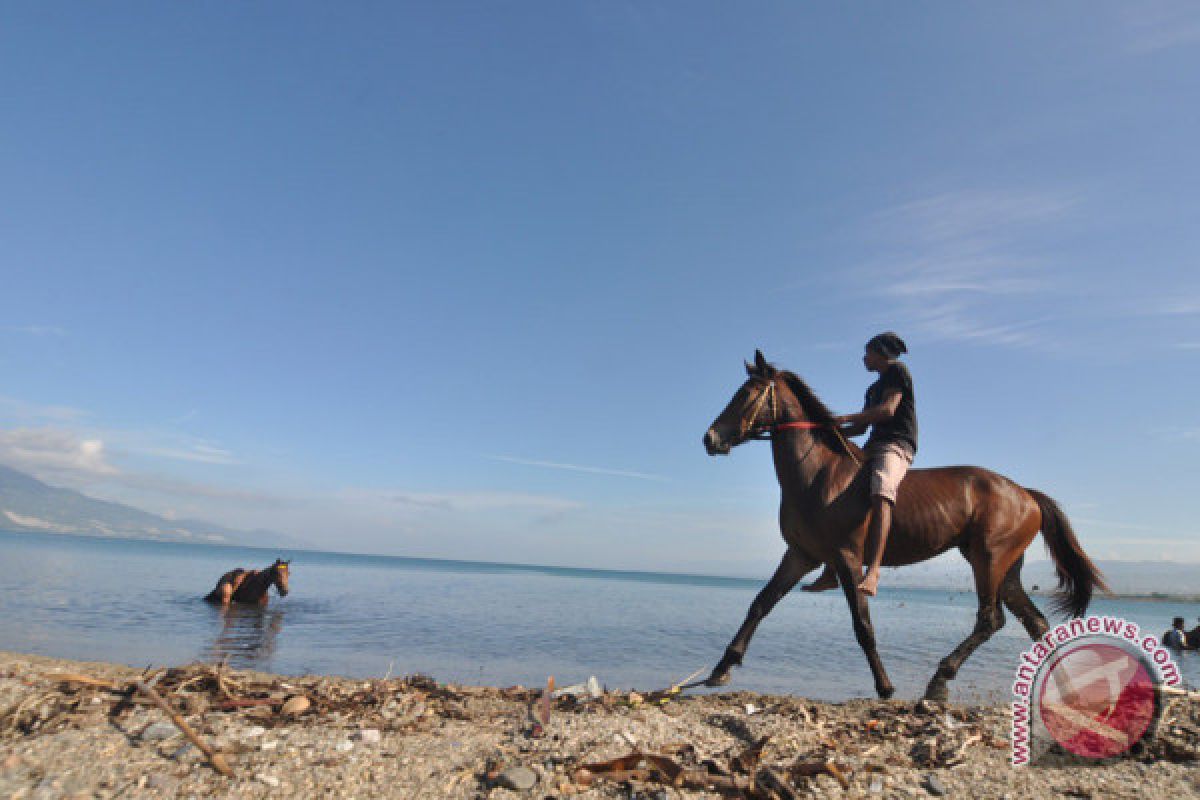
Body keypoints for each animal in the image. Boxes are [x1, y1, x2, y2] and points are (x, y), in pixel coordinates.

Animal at [700, 350, 1108, 700]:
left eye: (747, 394)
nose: (710, 438)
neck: (817, 473)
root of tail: (1026, 493)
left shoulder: (847, 558)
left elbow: (863, 626)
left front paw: (884, 686)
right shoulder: (801, 555)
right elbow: (759, 604)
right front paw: (722, 668)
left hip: (989, 559)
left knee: (990, 620)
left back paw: (940, 680)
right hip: (1004, 567)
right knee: (1035, 623)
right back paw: (1066, 690)